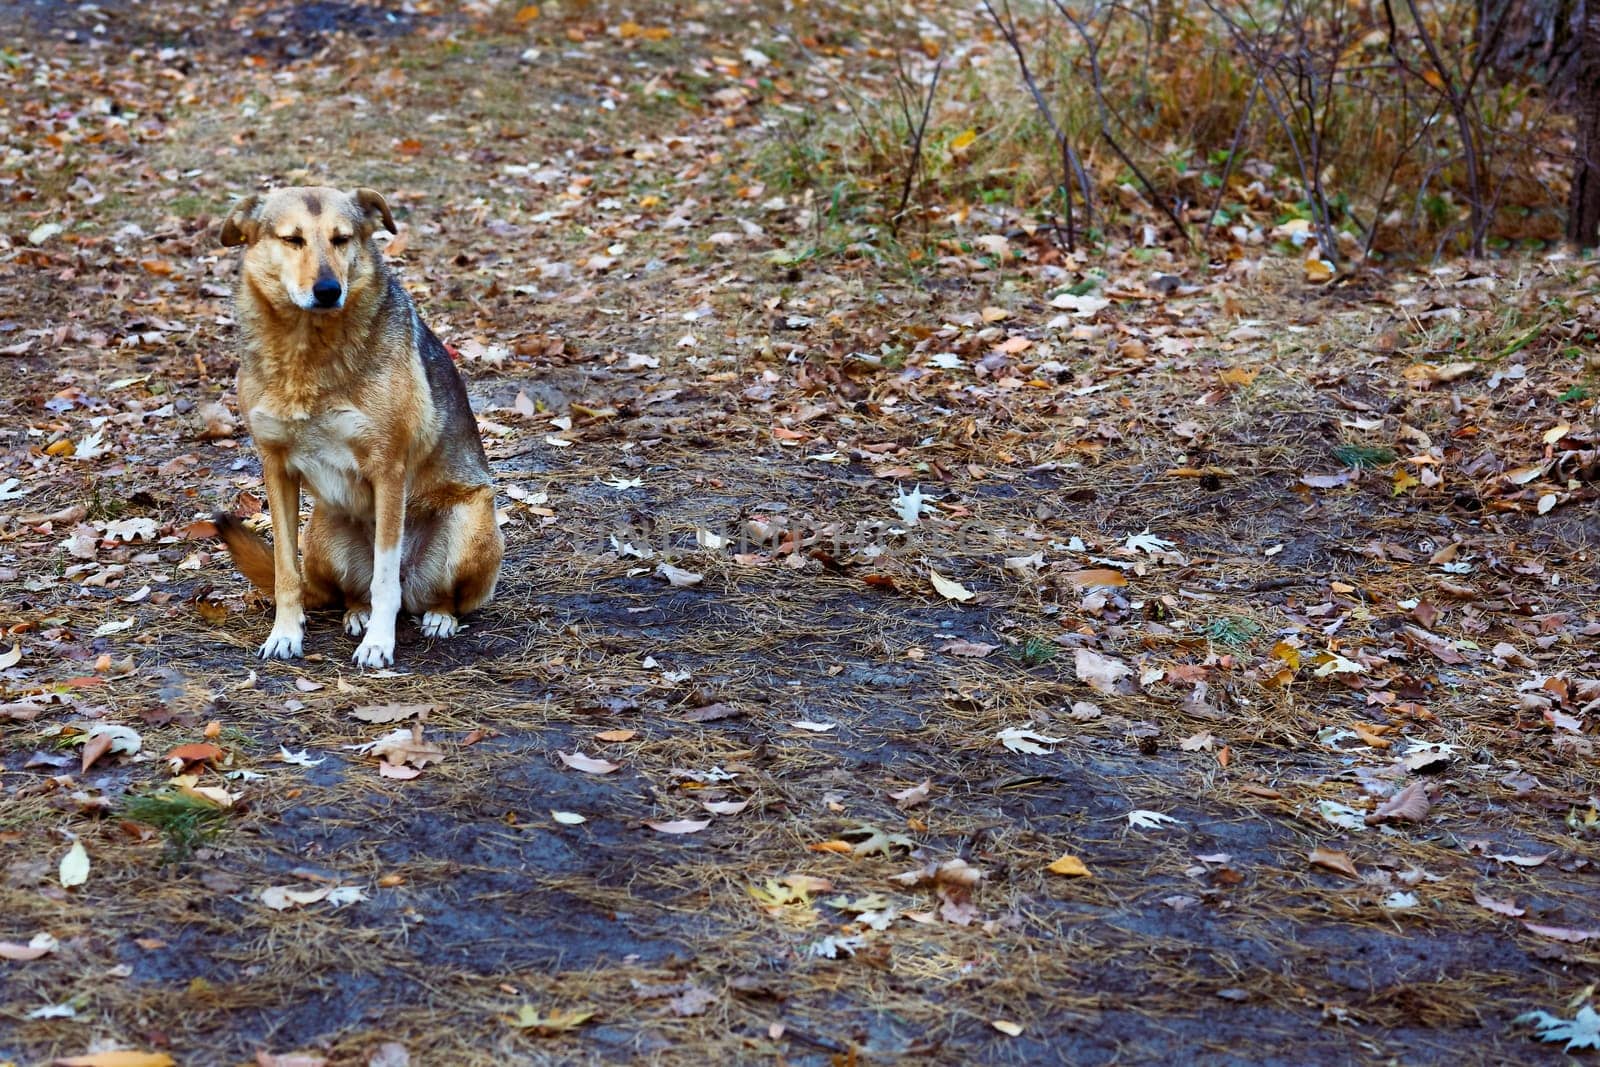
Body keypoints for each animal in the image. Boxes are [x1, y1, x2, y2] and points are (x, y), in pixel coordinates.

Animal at [212, 187, 499, 662]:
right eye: (292, 240)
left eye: (341, 238)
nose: (328, 290)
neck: (307, 350)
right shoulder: (276, 469)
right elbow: (285, 572)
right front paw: (285, 634)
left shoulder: (388, 471)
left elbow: (385, 581)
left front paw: (379, 644)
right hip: (322, 533)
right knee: (350, 592)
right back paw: (357, 613)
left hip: (471, 524)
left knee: (433, 595)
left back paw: (438, 616)